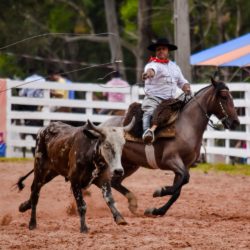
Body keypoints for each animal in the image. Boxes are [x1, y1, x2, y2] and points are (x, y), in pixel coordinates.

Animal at [101, 78, 240, 217]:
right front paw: (160, 191)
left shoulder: (184, 166)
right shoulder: (171, 160)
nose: (235, 123)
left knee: (114, 182)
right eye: (224, 97)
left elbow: (179, 189)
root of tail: (102, 125)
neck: (186, 126)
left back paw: (132, 204)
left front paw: (157, 210)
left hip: (129, 165)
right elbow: (184, 179)